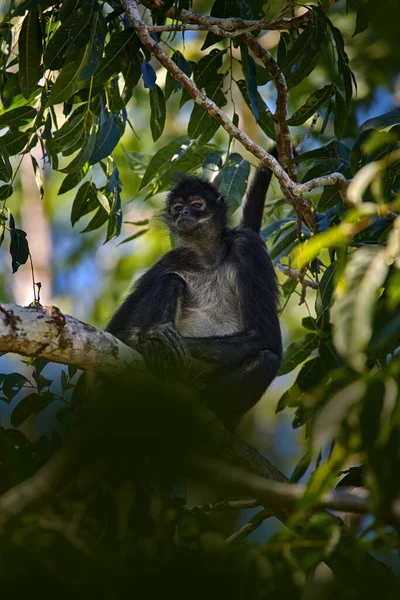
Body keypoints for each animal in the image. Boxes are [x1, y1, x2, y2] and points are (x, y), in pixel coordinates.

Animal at [106, 152, 282, 428]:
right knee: (171, 280)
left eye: (197, 204)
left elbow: (265, 336)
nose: (185, 212)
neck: (208, 258)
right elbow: (115, 331)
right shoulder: (172, 259)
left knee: (267, 360)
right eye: (178, 207)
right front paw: (145, 340)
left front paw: (153, 341)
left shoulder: (248, 247)